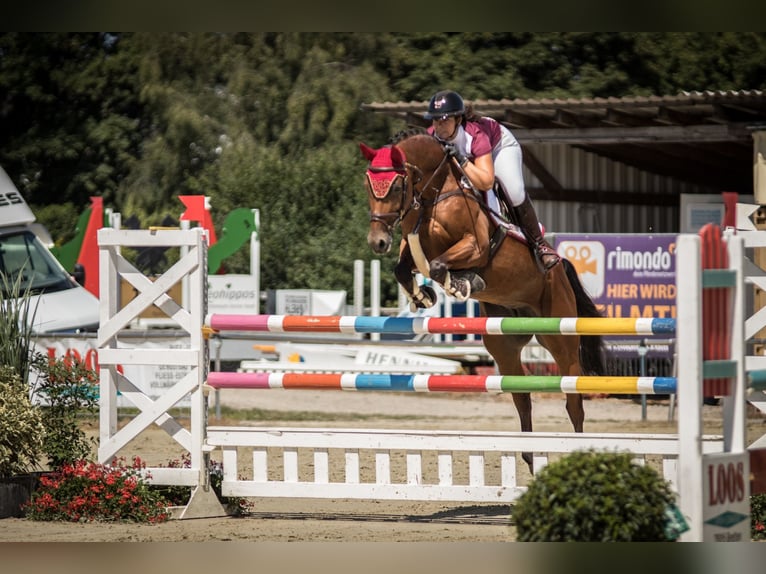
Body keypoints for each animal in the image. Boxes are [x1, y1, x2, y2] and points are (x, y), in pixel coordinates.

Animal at [360, 130, 608, 472]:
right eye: (367, 184)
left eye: (396, 186)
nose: (378, 242)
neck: (435, 192)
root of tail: (560, 268)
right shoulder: (413, 245)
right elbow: (406, 267)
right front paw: (424, 295)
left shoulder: (475, 246)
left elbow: (438, 265)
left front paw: (460, 284)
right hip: (504, 345)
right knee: (522, 397)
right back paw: (530, 455)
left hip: (560, 336)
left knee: (574, 400)